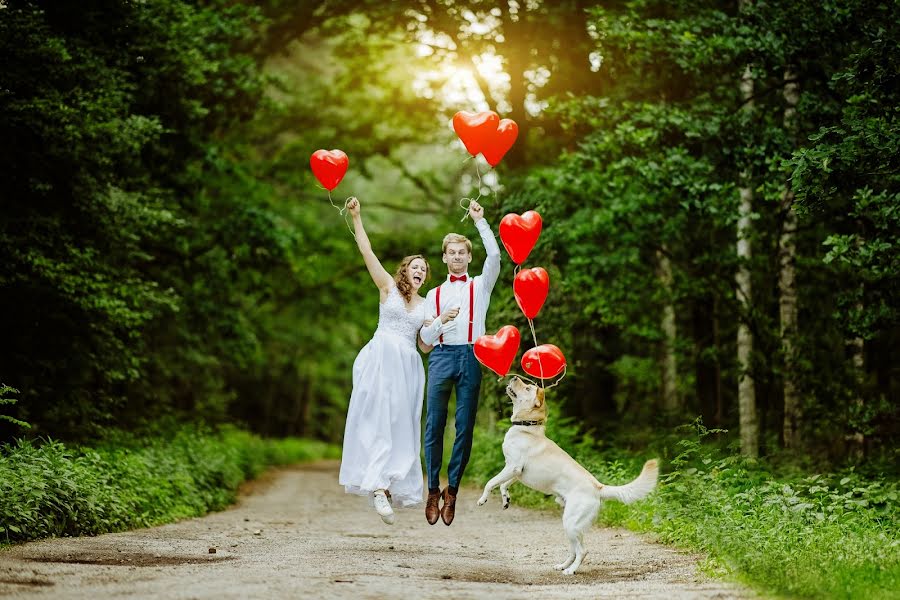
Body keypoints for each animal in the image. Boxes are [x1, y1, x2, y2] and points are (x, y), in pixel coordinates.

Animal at [474, 376, 656, 576]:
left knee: (583, 551)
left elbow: (490, 482)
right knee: (574, 550)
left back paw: (570, 571)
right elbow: (502, 484)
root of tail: (598, 487)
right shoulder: (516, 472)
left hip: (570, 523)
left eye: (528, 387)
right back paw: (563, 565)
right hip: (570, 527)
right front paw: (506, 499)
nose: (514, 377)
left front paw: (482, 499)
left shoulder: (513, 467)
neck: (527, 428)